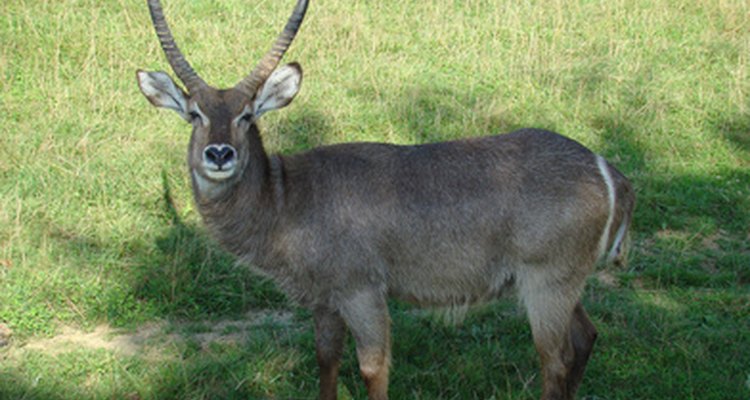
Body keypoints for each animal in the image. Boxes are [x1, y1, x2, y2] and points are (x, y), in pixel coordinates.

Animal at [135, 0, 636, 400]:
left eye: (245, 114)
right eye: (195, 113)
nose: (219, 154)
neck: (286, 199)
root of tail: (607, 170)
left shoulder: (362, 290)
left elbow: (373, 370)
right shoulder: (325, 300)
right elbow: (326, 362)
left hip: (546, 282)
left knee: (556, 360)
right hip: (560, 284)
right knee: (586, 337)